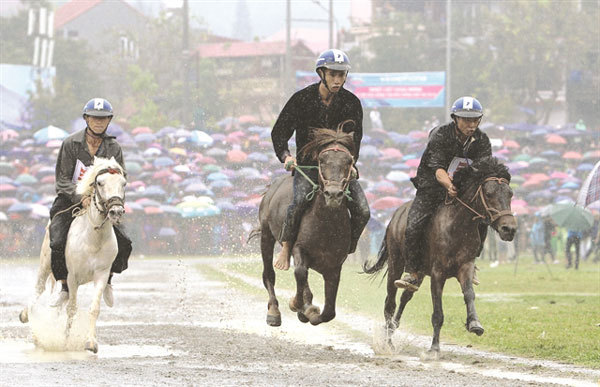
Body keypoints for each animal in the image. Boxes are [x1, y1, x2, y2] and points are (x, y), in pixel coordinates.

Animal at [19, 157, 126, 354]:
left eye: (123, 183)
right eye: (100, 183)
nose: (116, 211)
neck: (93, 238)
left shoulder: (101, 275)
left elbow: (94, 308)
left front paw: (91, 342)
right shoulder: (73, 276)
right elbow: (71, 309)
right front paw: (65, 340)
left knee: (63, 297)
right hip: (45, 265)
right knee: (39, 291)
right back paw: (28, 321)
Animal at [253, 122, 356, 328]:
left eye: (348, 161)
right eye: (322, 160)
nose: (333, 194)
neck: (326, 224)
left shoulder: (334, 267)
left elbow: (329, 312)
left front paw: (309, 311)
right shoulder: (299, 249)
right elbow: (300, 273)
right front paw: (296, 304)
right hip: (266, 236)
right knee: (269, 274)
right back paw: (274, 312)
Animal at [364, 158, 516, 354]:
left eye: (510, 194)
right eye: (489, 194)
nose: (509, 229)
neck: (457, 225)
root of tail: (395, 217)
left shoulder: (465, 266)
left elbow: (469, 294)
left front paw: (474, 323)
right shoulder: (438, 273)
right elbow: (438, 312)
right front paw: (434, 348)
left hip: (419, 272)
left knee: (406, 296)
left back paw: (392, 329)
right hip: (395, 264)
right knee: (390, 302)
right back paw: (388, 342)